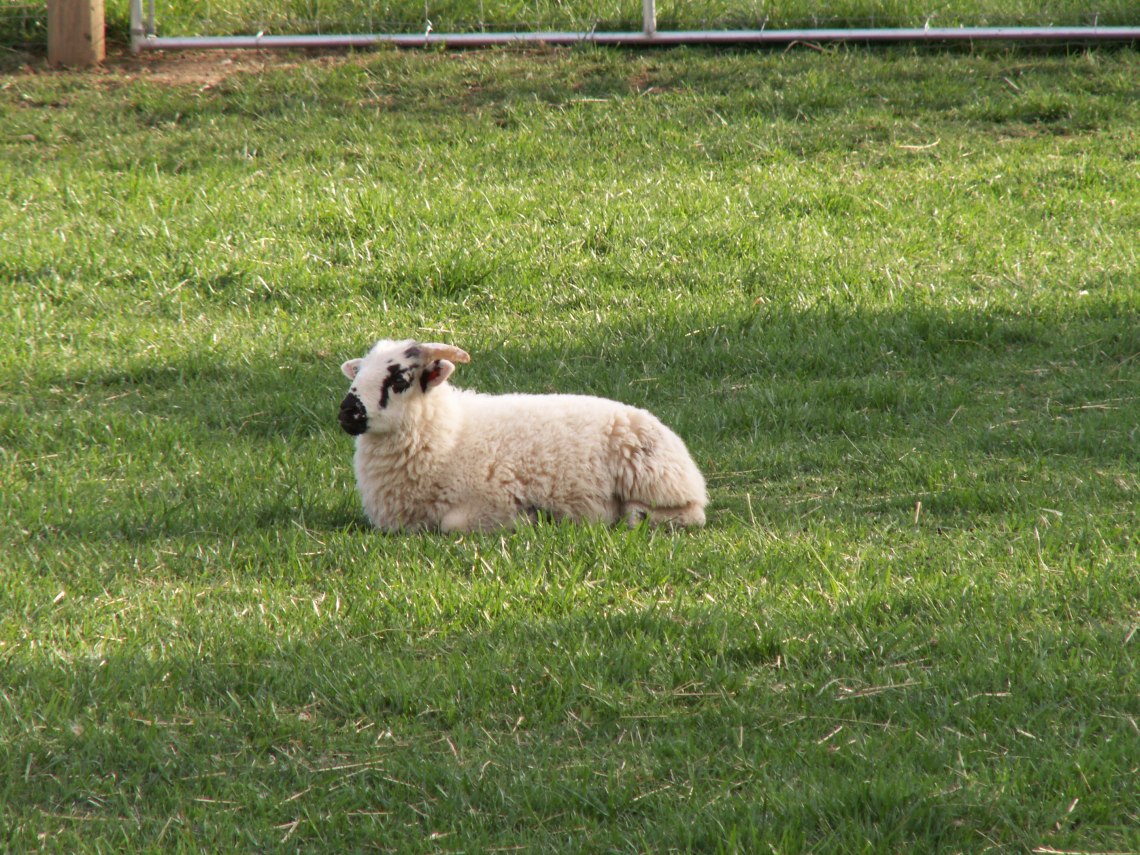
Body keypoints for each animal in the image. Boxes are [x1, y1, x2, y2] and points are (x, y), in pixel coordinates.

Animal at [337, 339, 708, 532]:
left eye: (399, 380)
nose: (346, 413)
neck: (448, 435)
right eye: (360, 373)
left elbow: (452, 524)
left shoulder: (485, 502)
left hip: (657, 477)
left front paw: (529, 519)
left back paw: (635, 515)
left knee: (691, 513)